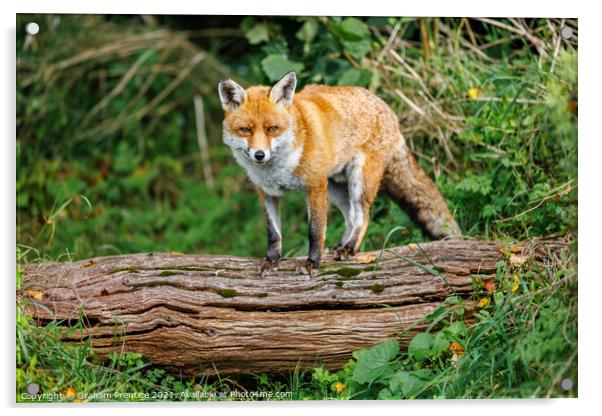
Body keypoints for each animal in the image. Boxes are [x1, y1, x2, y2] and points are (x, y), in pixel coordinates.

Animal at [218, 72, 458, 278]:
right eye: (246, 130)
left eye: (272, 129)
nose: (259, 155)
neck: (279, 169)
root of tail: (387, 108)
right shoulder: (267, 192)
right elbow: (273, 233)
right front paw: (272, 261)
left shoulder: (315, 185)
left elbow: (315, 231)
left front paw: (312, 263)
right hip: (335, 188)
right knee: (350, 216)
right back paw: (341, 246)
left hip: (358, 182)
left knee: (362, 215)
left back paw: (349, 248)